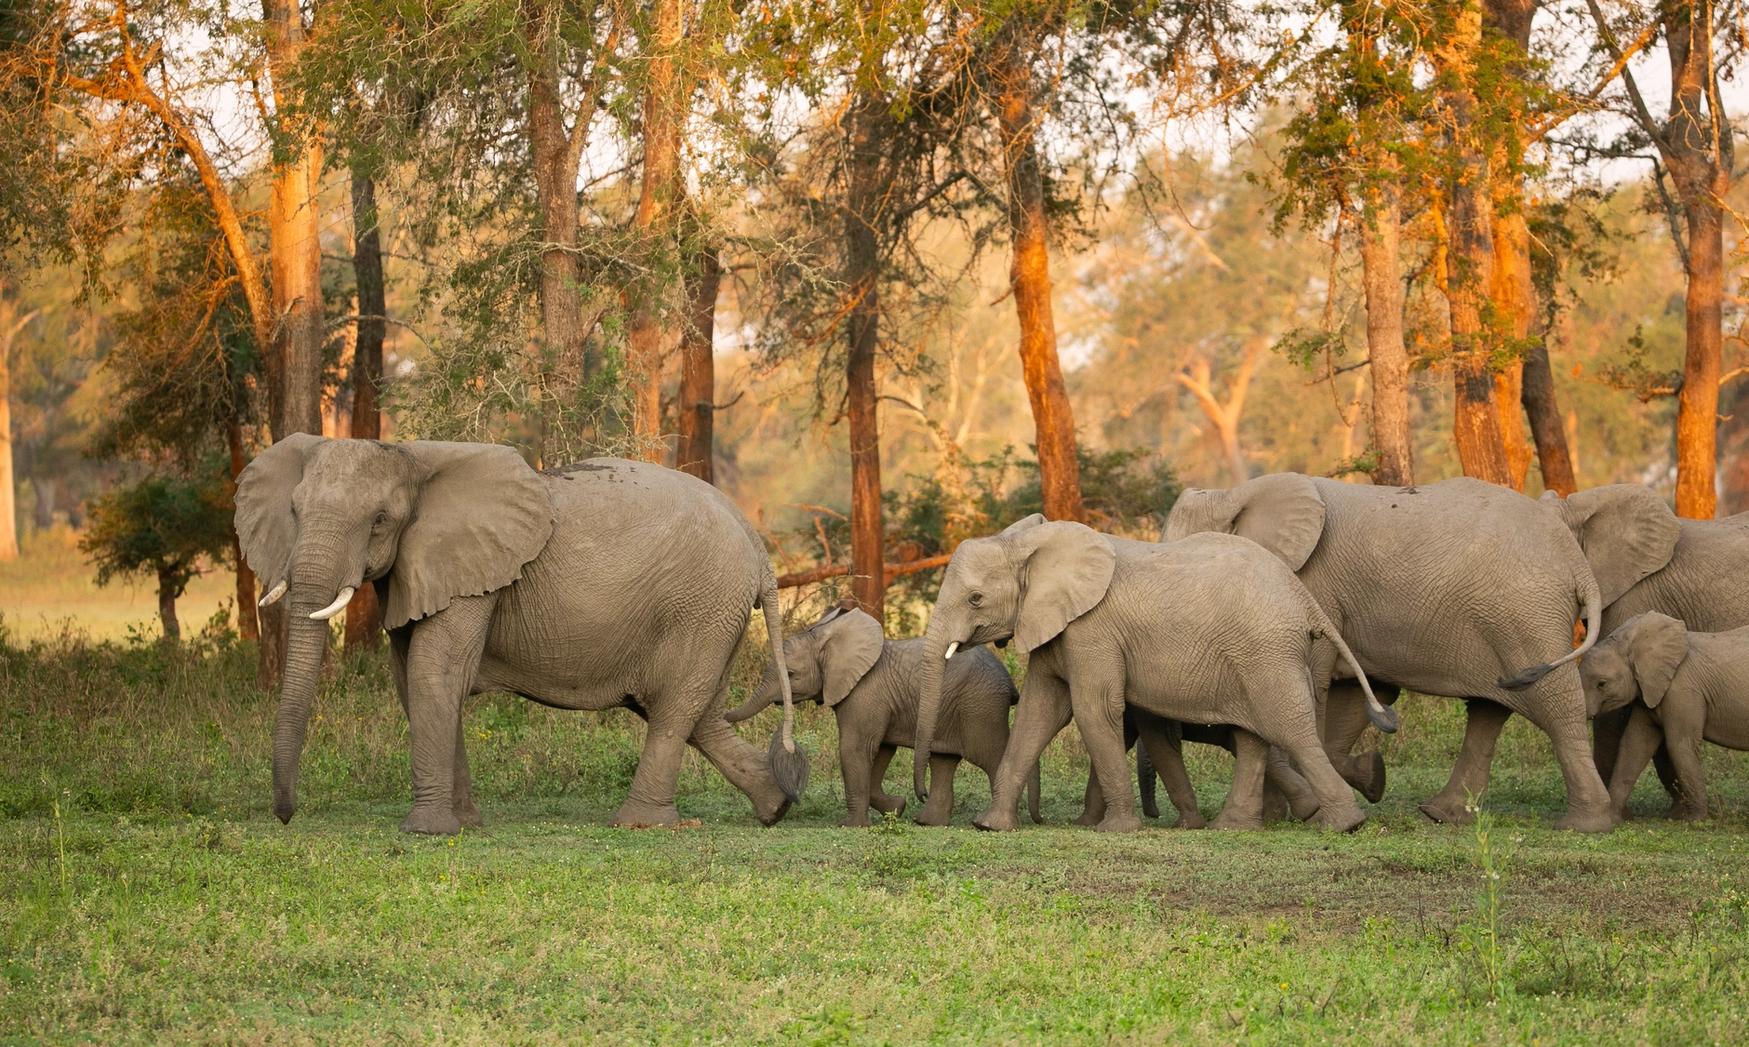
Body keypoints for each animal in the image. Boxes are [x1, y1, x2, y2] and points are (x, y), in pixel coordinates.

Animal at [235, 436, 804, 834]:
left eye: (379, 520)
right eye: (293, 511)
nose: (285, 816)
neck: (413, 455)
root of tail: (756, 542)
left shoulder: (471, 573)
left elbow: (435, 673)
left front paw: (427, 832)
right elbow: (410, 680)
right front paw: (464, 825)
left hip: (702, 604)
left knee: (674, 708)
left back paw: (641, 824)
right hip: (713, 612)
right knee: (698, 712)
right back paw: (777, 805)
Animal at [725, 602, 1040, 827]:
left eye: (791, 674)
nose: (725, 713)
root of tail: (1009, 681)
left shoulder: (865, 693)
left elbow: (855, 748)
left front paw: (850, 825)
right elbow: (880, 751)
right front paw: (896, 809)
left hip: (980, 707)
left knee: (991, 756)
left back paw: (989, 823)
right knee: (943, 761)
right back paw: (927, 823)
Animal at [912, 514, 1396, 833]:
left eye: (975, 598)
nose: (916, 799)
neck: (1032, 544)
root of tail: (1303, 596)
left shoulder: (1093, 629)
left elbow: (1092, 709)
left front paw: (1117, 831)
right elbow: (1039, 712)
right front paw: (990, 827)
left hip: (1268, 653)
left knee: (1288, 727)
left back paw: (1344, 825)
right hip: (1255, 655)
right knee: (1253, 736)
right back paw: (1232, 828)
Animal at [1166, 473, 1617, 832]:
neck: (1234, 493)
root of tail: (1577, 564)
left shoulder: (1312, 585)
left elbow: (1313, 687)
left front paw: (1304, 813)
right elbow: (1354, 698)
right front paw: (1369, 778)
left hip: (1526, 616)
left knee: (1557, 708)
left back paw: (1585, 825)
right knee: (1490, 709)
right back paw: (1440, 814)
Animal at [1581, 612, 1749, 819]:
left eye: (1602, 684)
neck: (1631, 642)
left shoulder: (1682, 690)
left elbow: (1680, 744)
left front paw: (1695, 820)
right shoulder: (1649, 692)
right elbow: (1635, 744)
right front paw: (1613, 818)